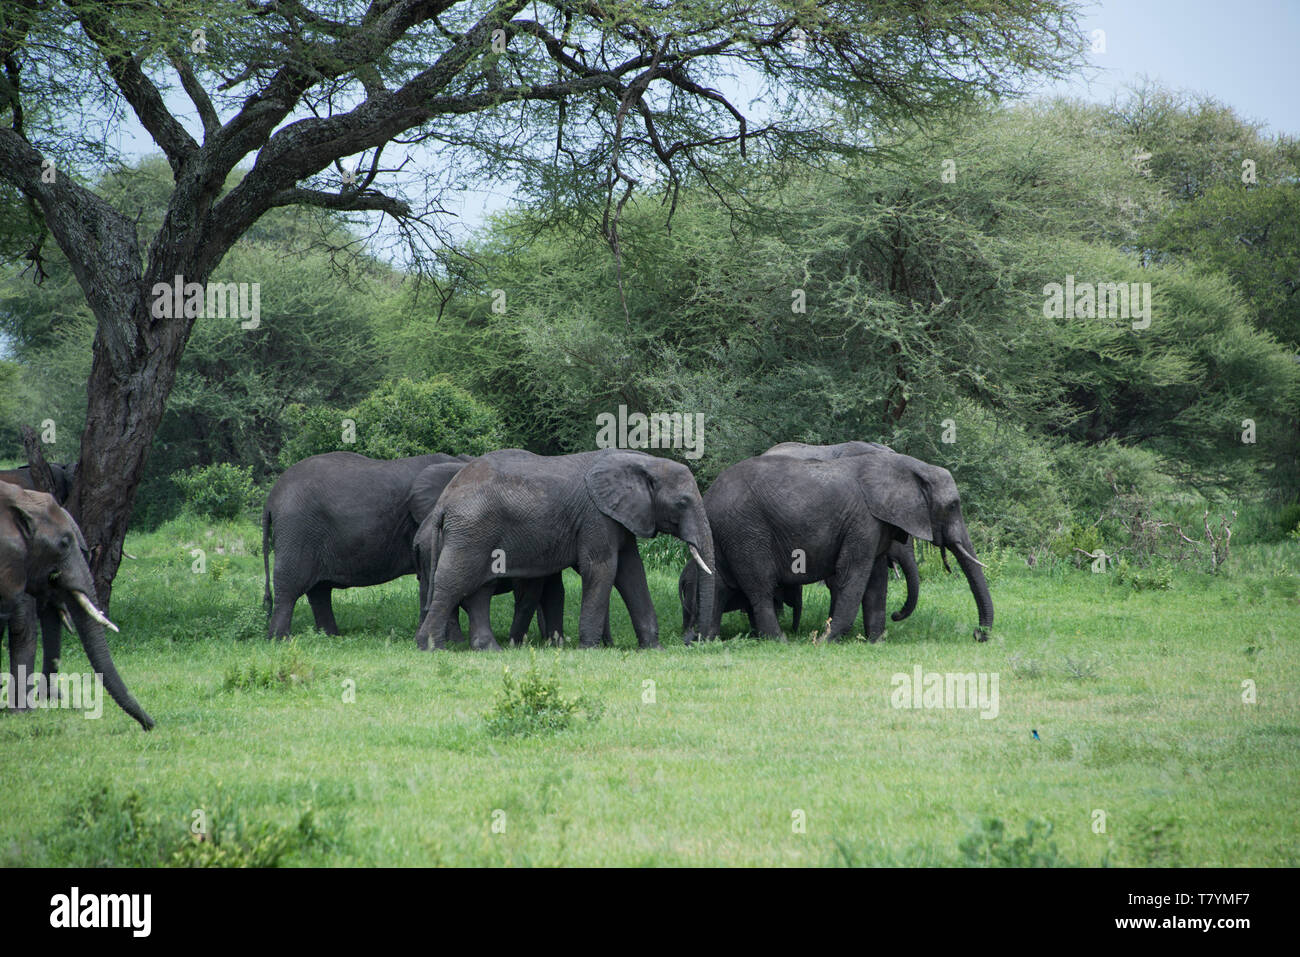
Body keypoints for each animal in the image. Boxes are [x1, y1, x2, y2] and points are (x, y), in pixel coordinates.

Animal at [261, 449, 470, 642]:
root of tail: (271, 498)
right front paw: (455, 643)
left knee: (319, 591)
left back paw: (331, 637)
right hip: (296, 528)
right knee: (290, 585)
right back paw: (280, 640)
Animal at [416, 447, 717, 650]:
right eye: (682, 502)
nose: (694, 641)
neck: (642, 461)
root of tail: (444, 500)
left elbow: (632, 572)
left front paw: (654, 649)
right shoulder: (596, 516)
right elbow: (602, 568)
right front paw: (589, 650)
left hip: (477, 534)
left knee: (479, 589)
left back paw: (490, 650)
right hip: (471, 531)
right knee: (455, 582)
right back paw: (431, 647)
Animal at [696, 452, 987, 647]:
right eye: (953, 506)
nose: (978, 634)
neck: (909, 466)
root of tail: (708, 496)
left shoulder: (873, 525)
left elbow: (876, 582)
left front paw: (875, 642)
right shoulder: (862, 523)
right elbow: (853, 576)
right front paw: (825, 642)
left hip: (726, 534)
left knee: (719, 584)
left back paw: (707, 640)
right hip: (745, 531)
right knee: (760, 589)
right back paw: (780, 641)